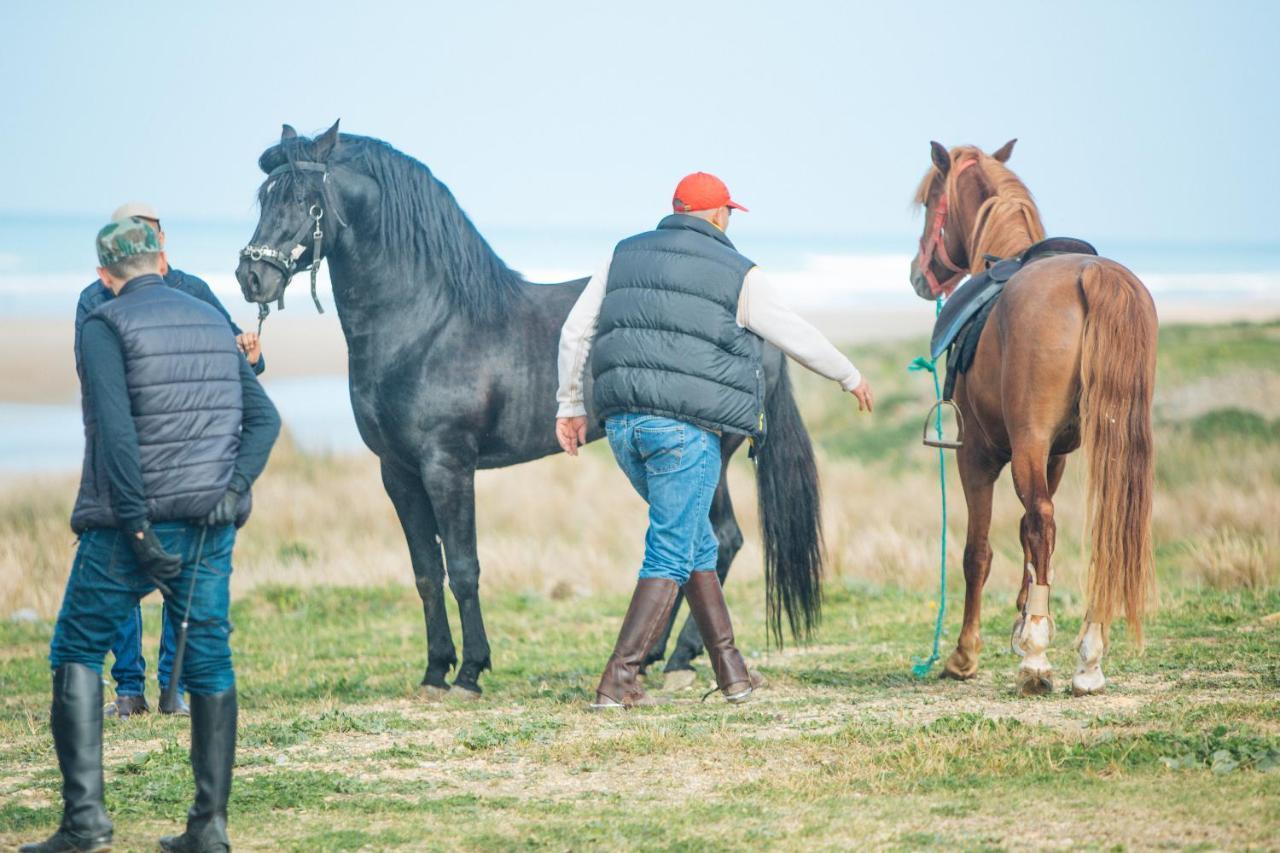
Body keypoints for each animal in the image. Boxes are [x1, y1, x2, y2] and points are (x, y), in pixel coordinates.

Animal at [238, 122, 819, 696]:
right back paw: (656, 657)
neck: (429, 325)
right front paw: (434, 670)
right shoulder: (397, 471)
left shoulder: (448, 466)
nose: (250, 278)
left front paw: (470, 672)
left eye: (305, 199)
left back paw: (675, 659)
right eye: (265, 195)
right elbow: (425, 571)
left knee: (720, 540)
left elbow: (463, 566)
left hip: (707, 455)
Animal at [911, 139, 1162, 696]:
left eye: (930, 202)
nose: (918, 274)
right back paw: (1088, 659)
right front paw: (1026, 621)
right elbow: (1028, 542)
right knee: (1101, 528)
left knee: (1043, 522)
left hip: (1021, 444)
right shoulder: (1056, 457)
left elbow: (980, 552)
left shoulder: (978, 459)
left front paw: (969, 653)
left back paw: (1038, 662)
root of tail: (1092, 276)